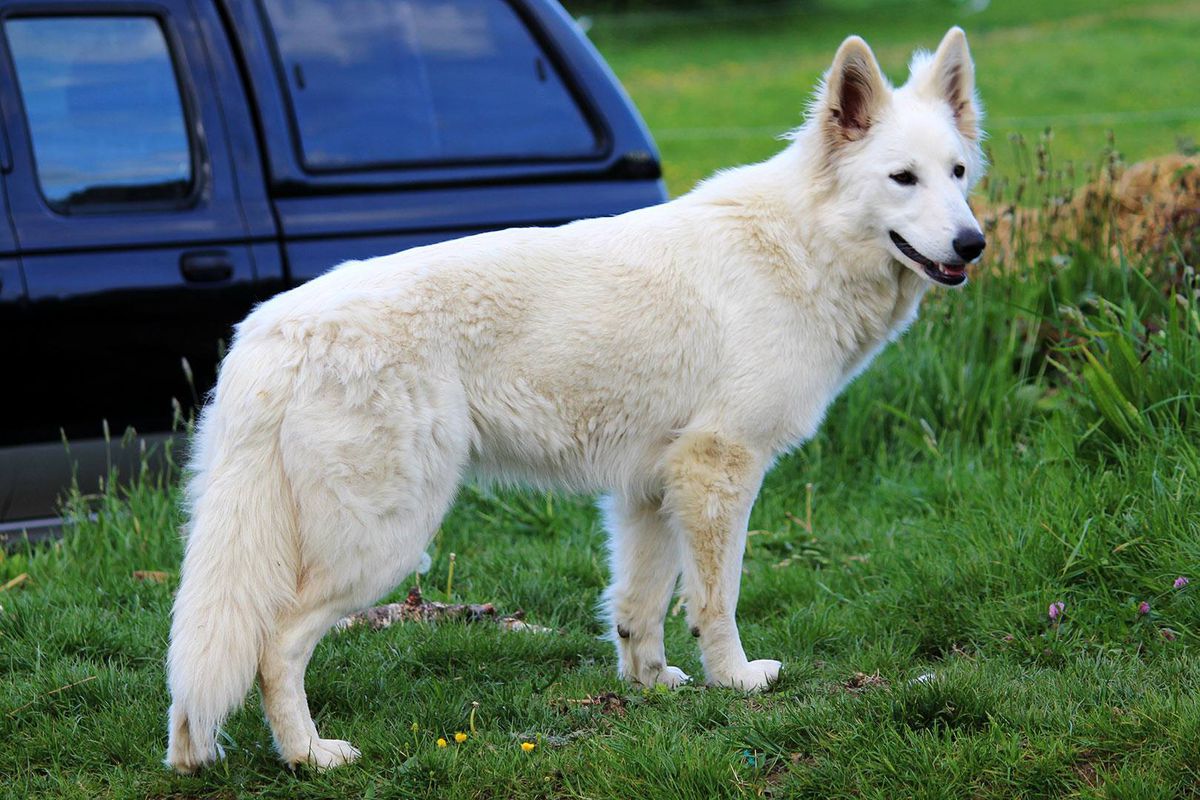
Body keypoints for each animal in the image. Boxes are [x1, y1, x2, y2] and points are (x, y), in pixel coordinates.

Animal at [166, 28, 984, 772]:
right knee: (275, 645)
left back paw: (200, 754)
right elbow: (715, 600)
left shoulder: (651, 490)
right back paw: (310, 755)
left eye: (957, 173)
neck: (800, 245)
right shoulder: (721, 470)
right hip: (384, 538)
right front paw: (736, 681)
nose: (973, 243)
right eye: (902, 178)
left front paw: (653, 687)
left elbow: (639, 606)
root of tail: (271, 330)